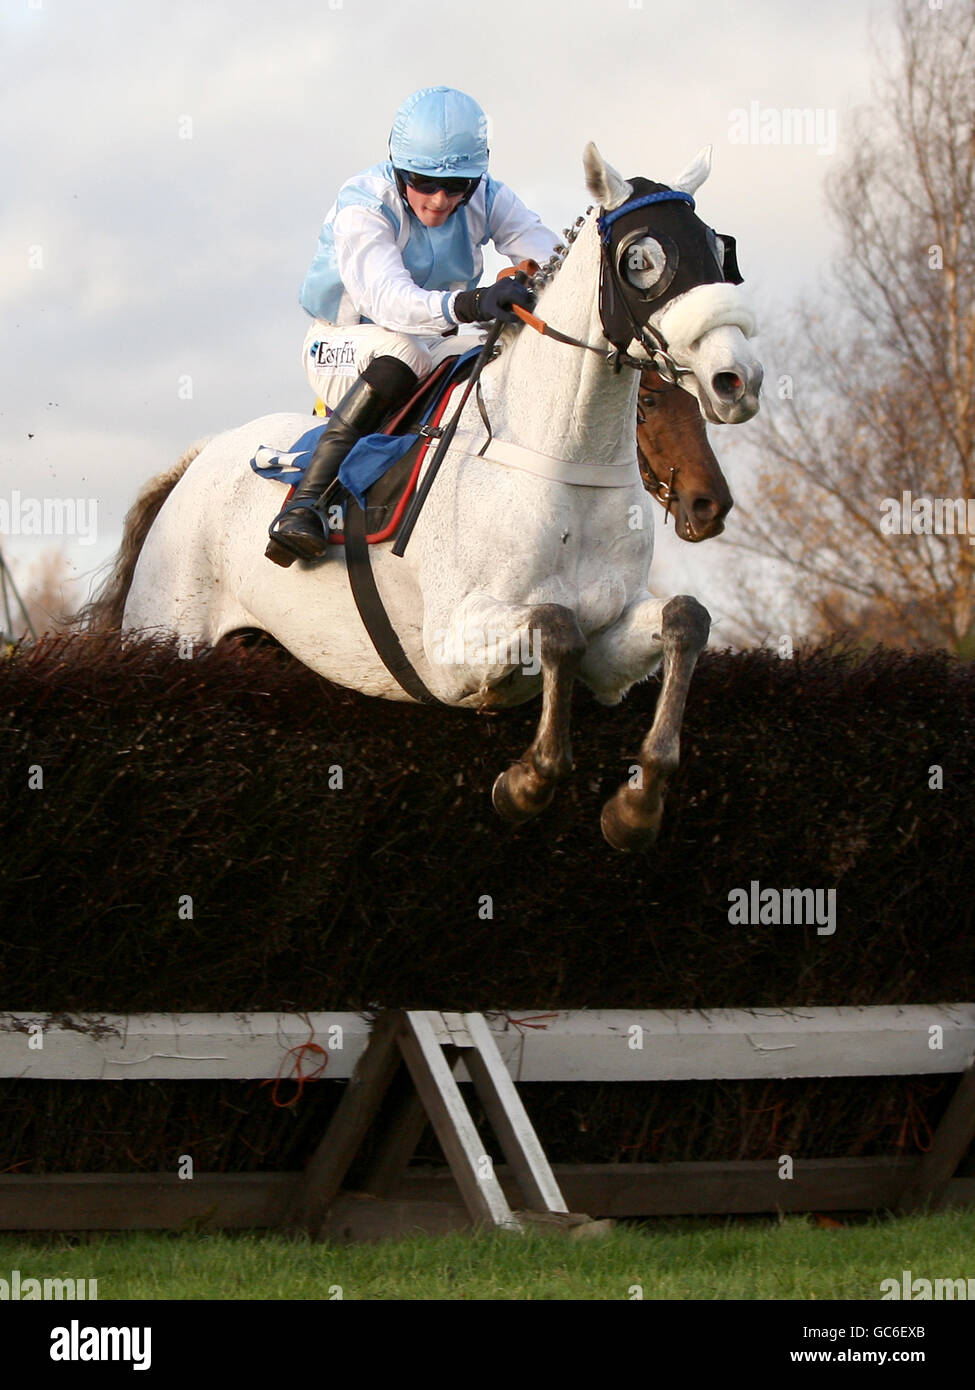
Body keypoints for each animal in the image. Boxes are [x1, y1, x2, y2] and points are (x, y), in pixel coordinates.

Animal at [98, 146, 762, 850]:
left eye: (719, 252)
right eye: (642, 260)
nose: (738, 381)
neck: (556, 461)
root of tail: (198, 459)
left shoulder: (610, 646)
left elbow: (684, 619)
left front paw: (636, 805)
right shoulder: (452, 648)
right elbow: (556, 627)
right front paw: (527, 783)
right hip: (167, 636)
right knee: (388, 364)